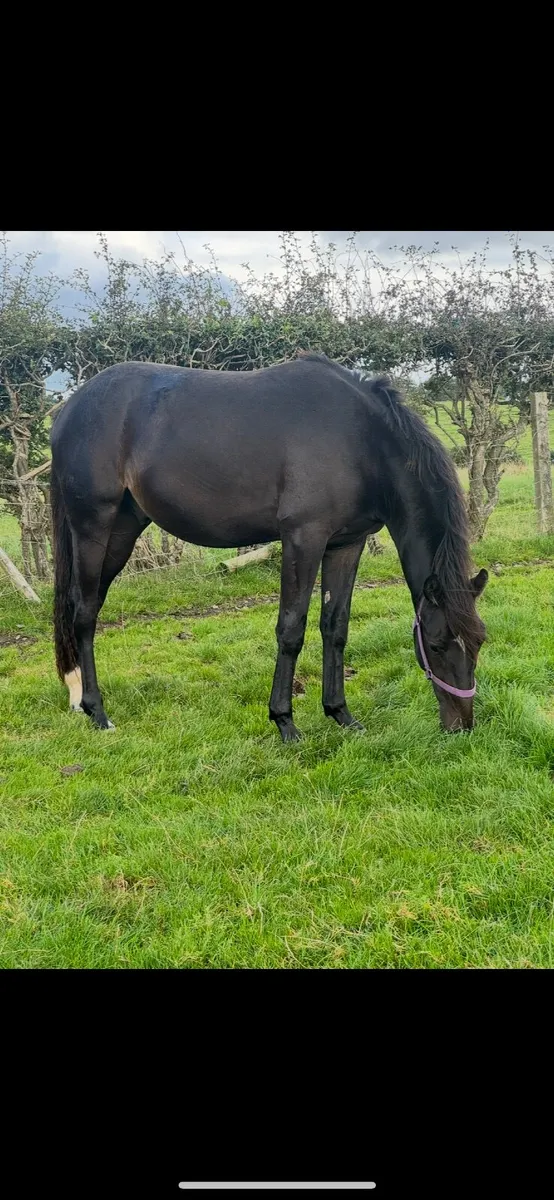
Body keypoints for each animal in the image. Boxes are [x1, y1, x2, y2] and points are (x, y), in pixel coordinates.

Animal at [50, 352, 488, 741]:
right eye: (436, 644)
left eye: (480, 640)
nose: (461, 726)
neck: (361, 440)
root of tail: (69, 409)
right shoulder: (303, 539)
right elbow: (291, 629)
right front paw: (285, 722)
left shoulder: (347, 544)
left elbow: (335, 627)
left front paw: (341, 715)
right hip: (93, 525)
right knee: (84, 612)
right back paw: (96, 711)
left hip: (123, 530)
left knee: (85, 606)